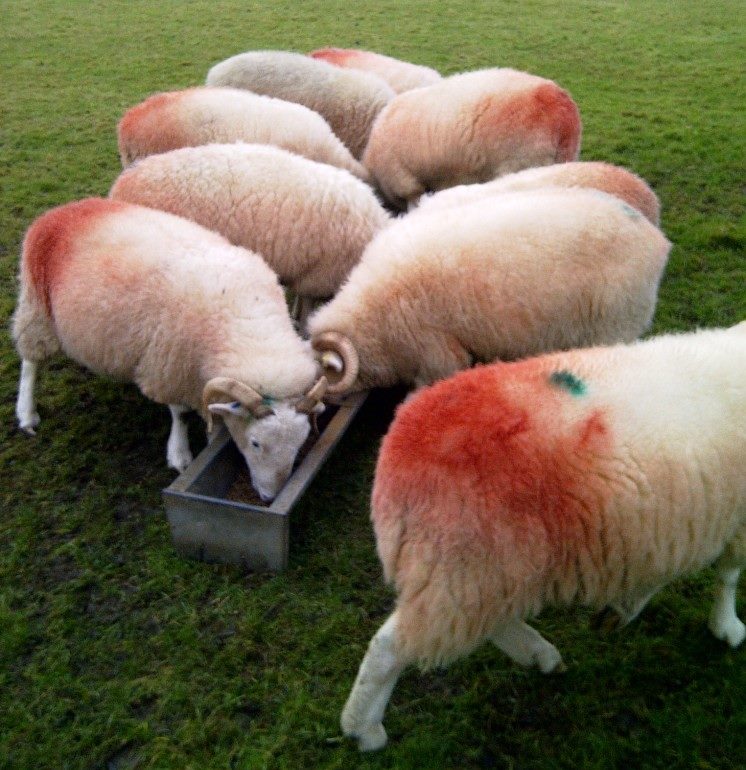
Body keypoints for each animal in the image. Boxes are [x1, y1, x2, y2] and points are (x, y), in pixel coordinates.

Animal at [12, 198, 328, 502]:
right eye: (256, 443)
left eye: (301, 443)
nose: (268, 497)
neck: (244, 323)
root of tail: (62, 210)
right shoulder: (171, 364)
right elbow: (181, 413)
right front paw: (180, 454)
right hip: (37, 306)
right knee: (30, 362)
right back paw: (26, 413)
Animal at [341, 322, 746, 750]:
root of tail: (395, 456)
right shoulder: (734, 519)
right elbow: (729, 575)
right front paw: (727, 627)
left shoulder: (675, 524)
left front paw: (621, 610)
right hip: (460, 565)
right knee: (389, 648)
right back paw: (364, 729)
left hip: (478, 572)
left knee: (490, 623)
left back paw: (539, 655)